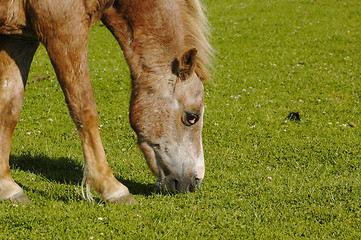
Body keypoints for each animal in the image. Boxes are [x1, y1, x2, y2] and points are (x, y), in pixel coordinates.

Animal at [0, 0, 211, 204]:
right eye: (192, 117)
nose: (196, 182)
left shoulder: (21, 38)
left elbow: (10, 108)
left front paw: (7, 187)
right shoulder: (65, 31)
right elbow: (85, 110)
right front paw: (111, 188)